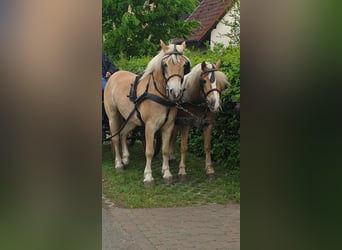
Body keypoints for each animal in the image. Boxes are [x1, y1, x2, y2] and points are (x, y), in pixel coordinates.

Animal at [104, 40, 190, 186]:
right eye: (165, 65)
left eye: (184, 65)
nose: (175, 92)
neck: (158, 93)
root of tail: (113, 75)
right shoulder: (150, 126)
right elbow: (149, 151)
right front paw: (148, 176)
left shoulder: (168, 126)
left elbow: (165, 150)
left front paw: (167, 173)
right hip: (113, 116)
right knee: (115, 138)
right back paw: (119, 163)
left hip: (131, 119)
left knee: (123, 134)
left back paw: (125, 158)